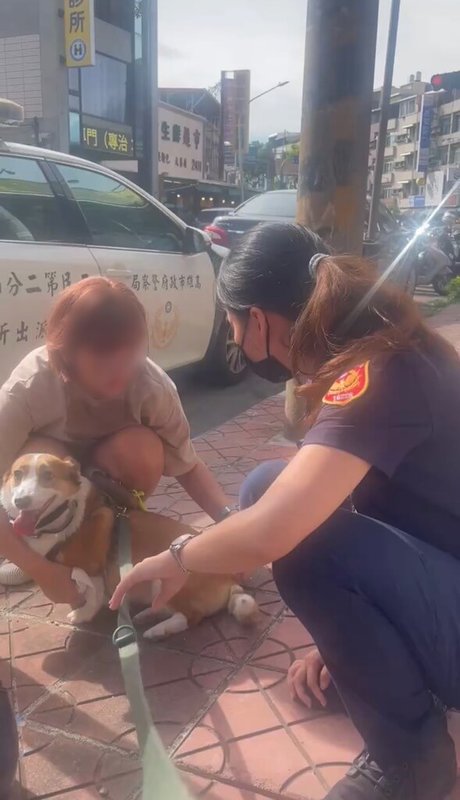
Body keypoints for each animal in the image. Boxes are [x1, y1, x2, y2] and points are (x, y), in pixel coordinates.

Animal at [0, 454, 258, 640]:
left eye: (48, 475)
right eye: (17, 475)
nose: (20, 501)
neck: (68, 518)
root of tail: (229, 580)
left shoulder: (92, 568)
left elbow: (92, 593)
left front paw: (82, 614)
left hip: (166, 571)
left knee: (190, 617)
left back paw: (158, 630)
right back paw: (147, 614)